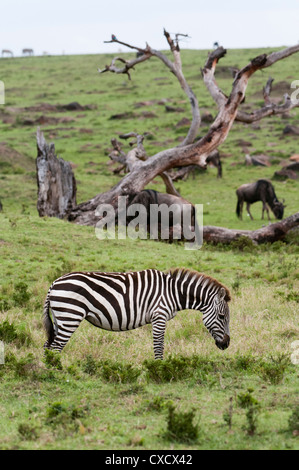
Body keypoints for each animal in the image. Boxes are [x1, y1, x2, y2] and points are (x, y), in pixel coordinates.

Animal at [43, 268, 232, 360]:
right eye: (222, 317)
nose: (226, 344)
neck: (173, 292)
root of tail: (54, 283)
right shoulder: (159, 316)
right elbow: (159, 345)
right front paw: (159, 368)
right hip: (70, 316)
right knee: (55, 348)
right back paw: (58, 373)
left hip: (60, 319)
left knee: (48, 347)